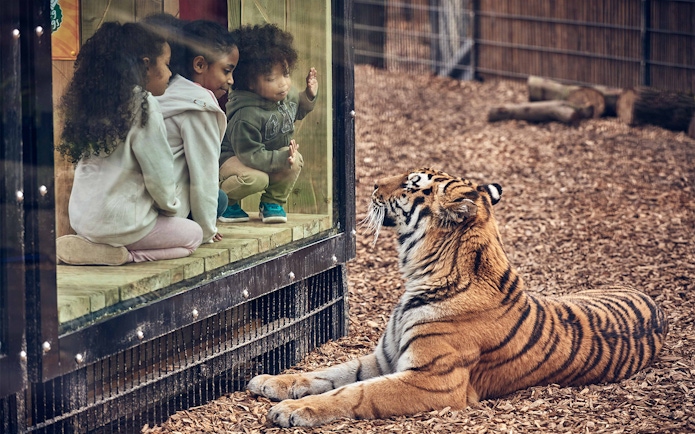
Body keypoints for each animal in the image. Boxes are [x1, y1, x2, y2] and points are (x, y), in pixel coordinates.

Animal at [247, 167, 668, 427]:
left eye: (411, 184)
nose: (372, 185)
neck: (419, 276)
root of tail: (651, 298)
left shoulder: (431, 380)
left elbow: (355, 392)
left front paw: (293, 409)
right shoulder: (385, 358)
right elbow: (329, 371)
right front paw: (270, 381)